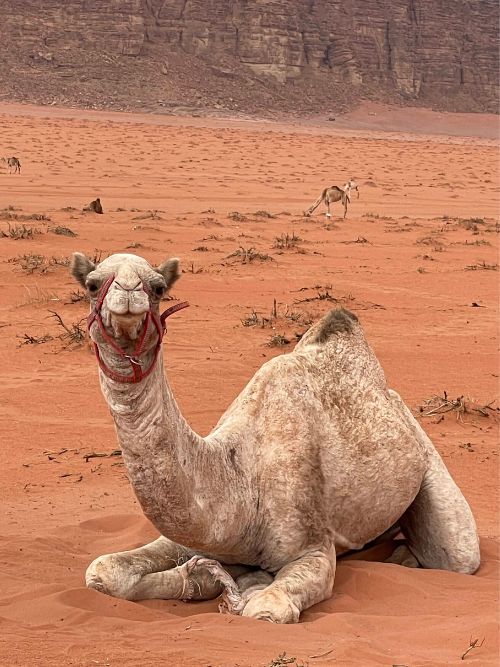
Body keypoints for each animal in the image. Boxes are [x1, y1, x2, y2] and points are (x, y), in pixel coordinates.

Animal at [70, 251, 480, 623]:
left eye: (157, 287)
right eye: (91, 284)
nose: (127, 293)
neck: (239, 475)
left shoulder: (312, 547)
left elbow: (267, 608)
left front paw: (242, 587)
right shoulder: (200, 532)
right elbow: (103, 572)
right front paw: (209, 578)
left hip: (433, 473)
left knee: (458, 554)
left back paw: (405, 557)